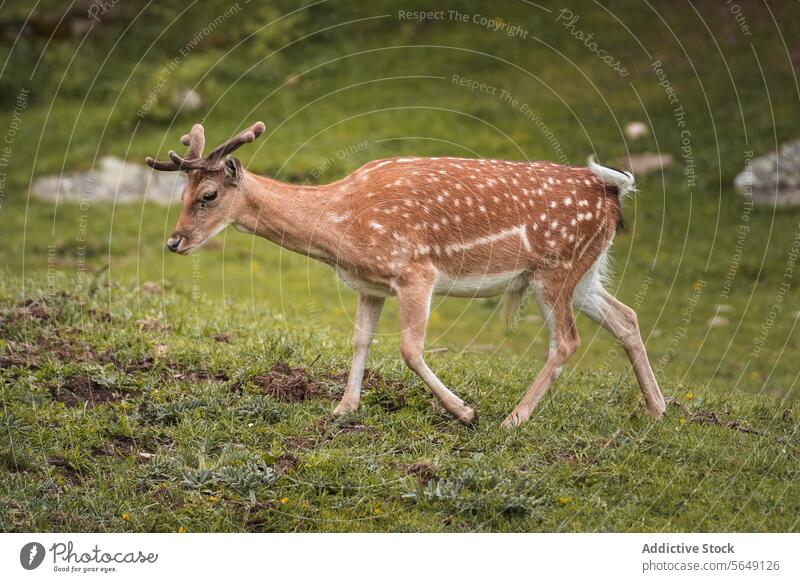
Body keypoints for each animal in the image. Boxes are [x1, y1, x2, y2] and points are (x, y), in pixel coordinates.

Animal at [147, 121, 664, 428]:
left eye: (209, 195)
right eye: (182, 193)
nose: (174, 242)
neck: (341, 226)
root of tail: (612, 190)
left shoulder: (416, 271)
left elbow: (410, 349)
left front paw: (465, 410)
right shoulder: (370, 285)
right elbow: (359, 340)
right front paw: (344, 407)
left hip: (555, 268)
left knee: (567, 341)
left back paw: (513, 419)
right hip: (585, 272)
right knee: (626, 316)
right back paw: (658, 409)